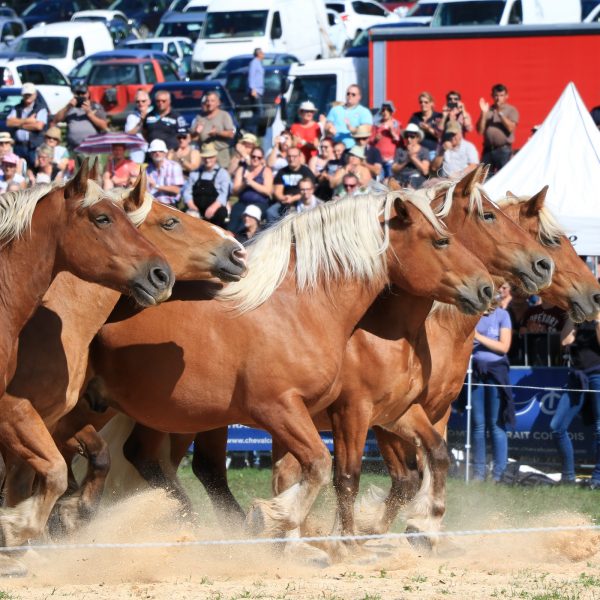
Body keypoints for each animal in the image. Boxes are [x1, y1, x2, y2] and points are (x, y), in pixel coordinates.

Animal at [76, 190, 492, 548]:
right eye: (441, 241)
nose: (486, 288)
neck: (300, 307)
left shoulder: (386, 412)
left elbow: (428, 457)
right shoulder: (294, 409)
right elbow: (330, 470)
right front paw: (305, 530)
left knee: (143, 458)